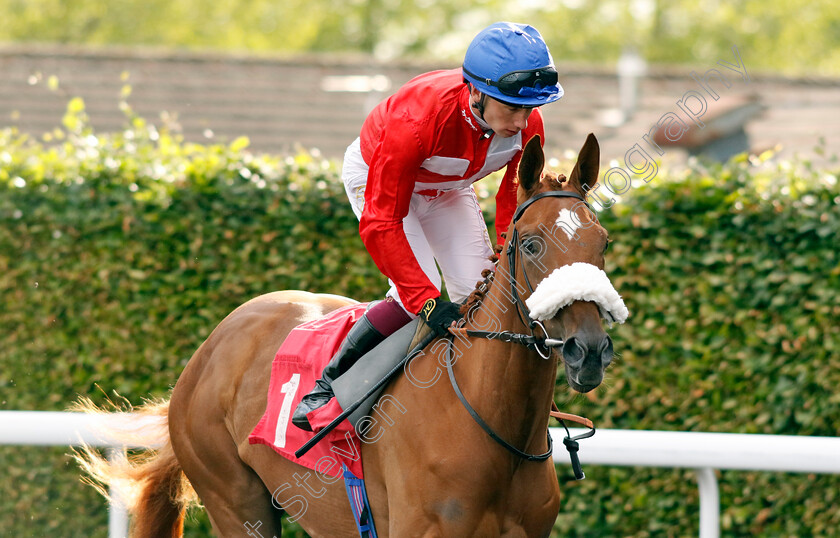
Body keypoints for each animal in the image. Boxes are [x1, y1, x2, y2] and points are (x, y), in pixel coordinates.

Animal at [80, 132, 616, 532]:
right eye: (530, 244)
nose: (588, 351)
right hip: (235, 500)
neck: (492, 423)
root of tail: (210, 347)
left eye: (603, 242)